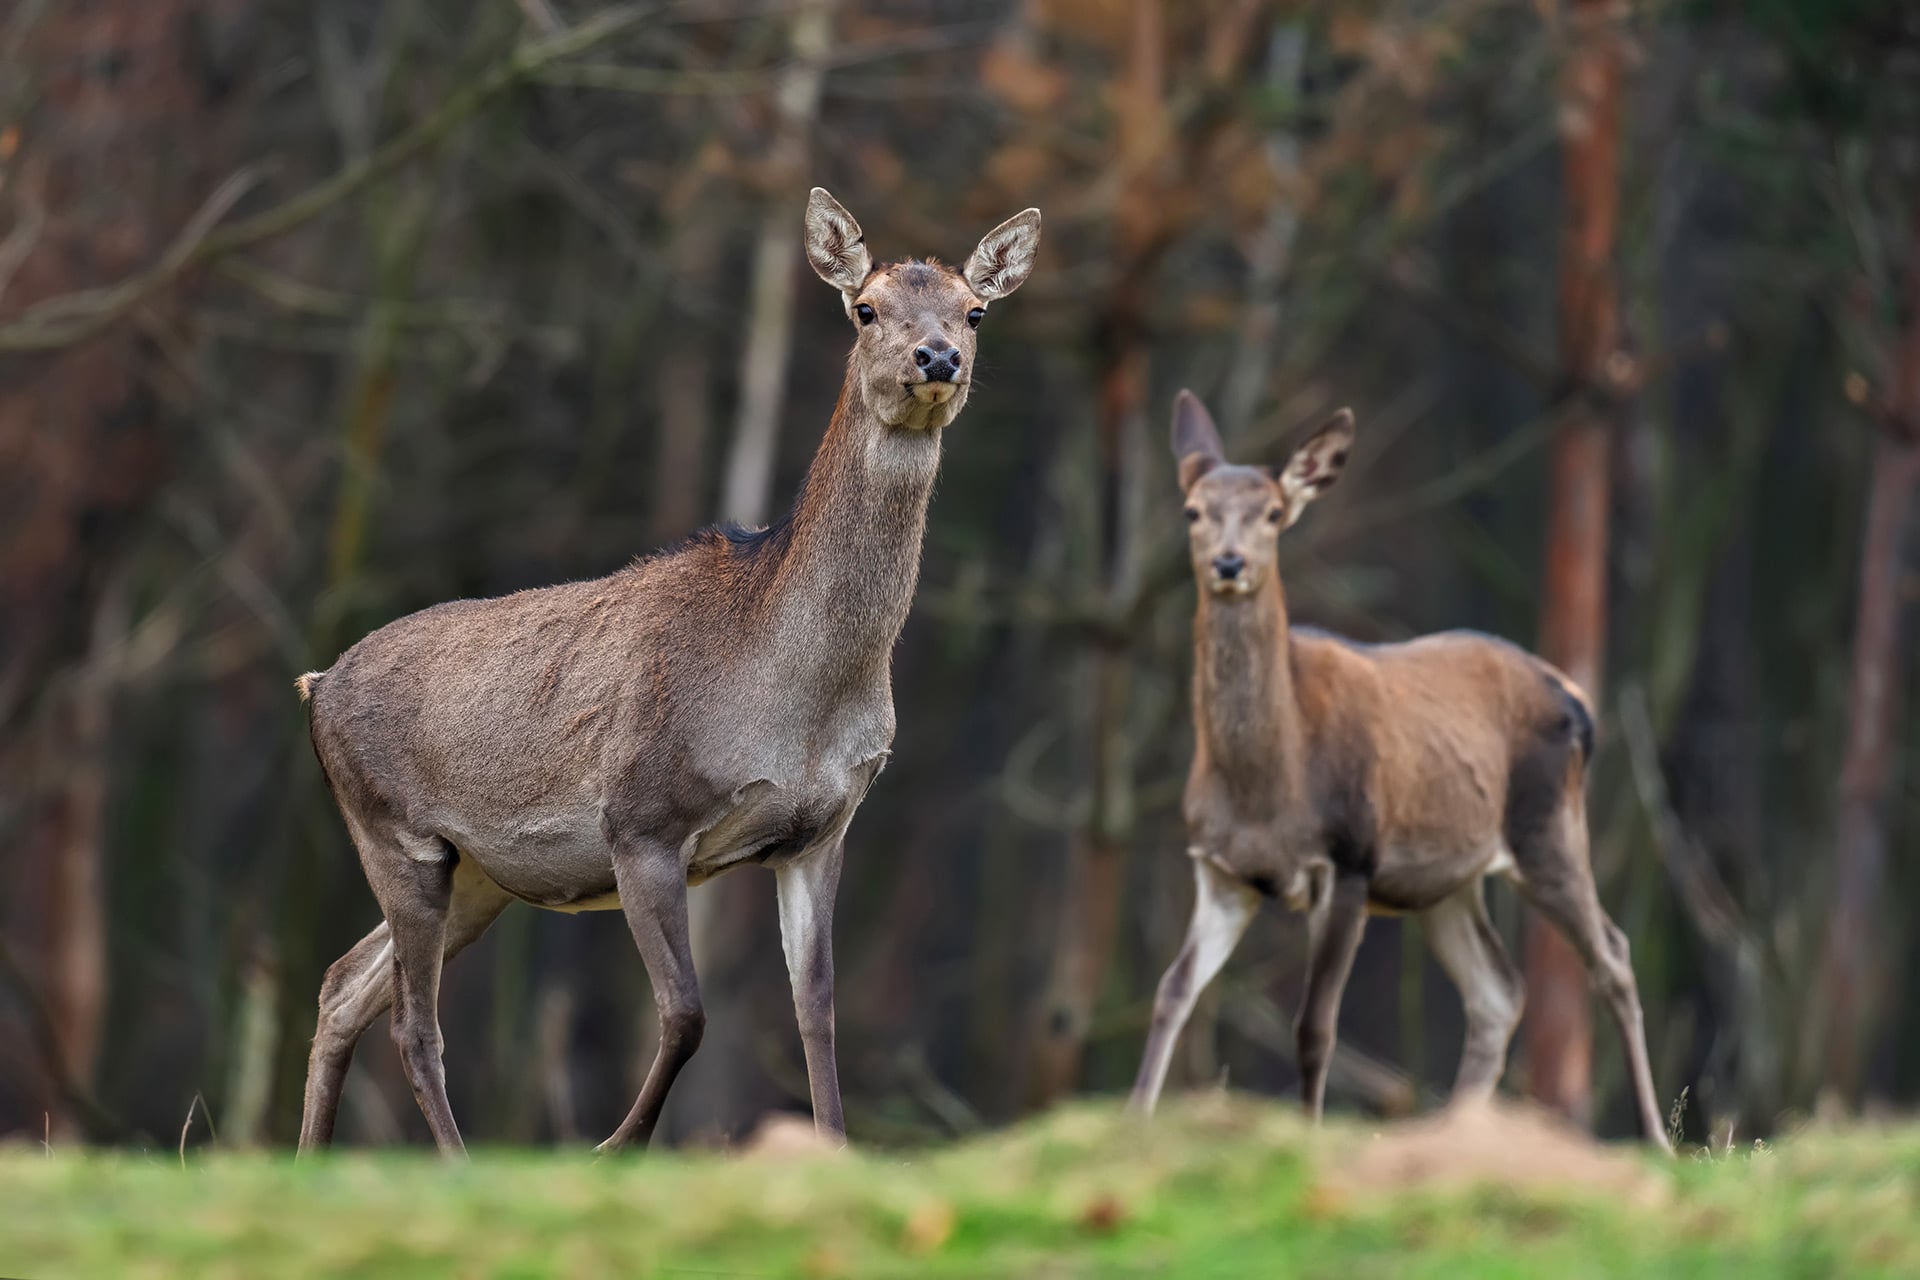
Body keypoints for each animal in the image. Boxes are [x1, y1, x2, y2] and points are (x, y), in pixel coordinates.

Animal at [291, 189, 1044, 1159]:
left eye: (975, 310)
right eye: (866, 308)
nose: (938, 357)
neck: (798, 697)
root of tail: (314, 687)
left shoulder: (822, 832)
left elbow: (817, 1013)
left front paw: (833, 1149)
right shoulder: (642, 819)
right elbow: (686, 1013)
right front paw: (614, 1148)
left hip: (477, 875)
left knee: (343, 983)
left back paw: (308, 1162)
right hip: (395, 834)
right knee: (413, 1024)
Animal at [1121, 391, 1666, 1151]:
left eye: (1273, 512)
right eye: (1192, 511)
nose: (1229, 564)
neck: (1267, 787)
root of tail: (1576, 698)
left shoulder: (1349, 859)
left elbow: (1315, 1026)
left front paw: (1309, 1131)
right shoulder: (1222, 870)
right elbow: (1172, 990)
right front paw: (1130, 1122)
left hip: (1548, 828)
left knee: (1611, 955)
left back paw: (1658, 1138)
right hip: (1442, 883)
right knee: (1500, 989)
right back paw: (1460, 1131)